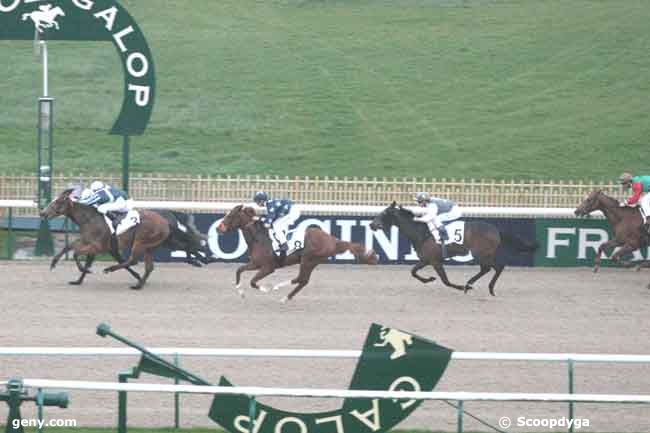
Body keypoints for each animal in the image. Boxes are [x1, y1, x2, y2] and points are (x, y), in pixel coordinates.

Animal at [215, 205, 378, 300]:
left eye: (230, 216)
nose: (218, 228)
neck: (259, 237)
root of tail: (333, 240)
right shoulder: (255, 263)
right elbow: (239, 270)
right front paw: (240, 292)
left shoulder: (268, 267)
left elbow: (253, 282)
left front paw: (265, 289)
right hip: (312, 261)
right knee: (303, 280)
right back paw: (285, 297)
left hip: (308, 259)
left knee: (301, 278)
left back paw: (278, 287)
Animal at [368, 201, 536, 296]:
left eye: (384, 213)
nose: (371, 224)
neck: (422, 233)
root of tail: (495, 230)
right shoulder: (426, 259)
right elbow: (413, 272)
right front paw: (429, 279)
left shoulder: (435, 261)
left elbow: (445, 281)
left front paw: (457, 286)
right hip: (486, 254)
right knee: (491, 268)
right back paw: (474, 285)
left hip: (481, 253)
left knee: (493, 267)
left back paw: (478, 287)